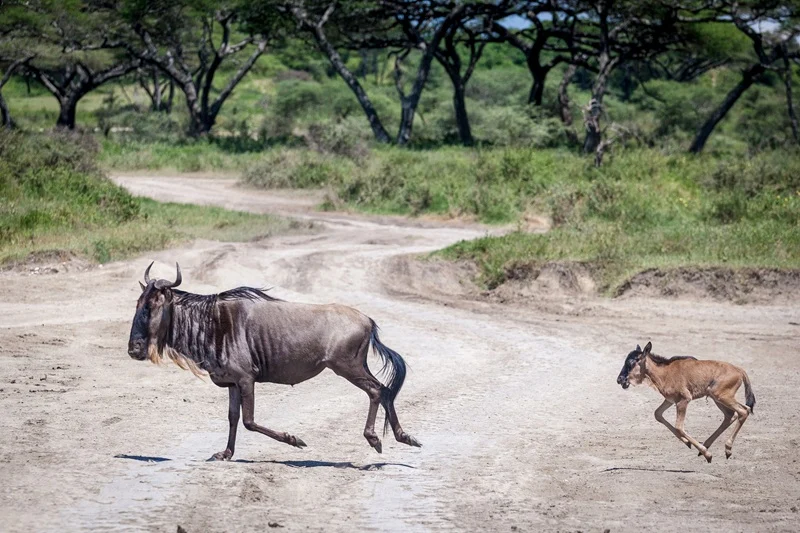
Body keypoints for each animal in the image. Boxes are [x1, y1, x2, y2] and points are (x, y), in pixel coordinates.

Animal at [617, 342, 755, 463]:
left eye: (633, 361)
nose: (620, 379)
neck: (665, 372)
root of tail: (739, 370)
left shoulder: (684, 400)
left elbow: (679, 427)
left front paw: (707, 454)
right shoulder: (670, 400)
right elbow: (658, 414)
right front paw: (689, 443)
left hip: (721, 396)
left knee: (743, 411)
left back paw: (726, 449)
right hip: (717, 398)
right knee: (731, 414)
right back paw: (709, 446)